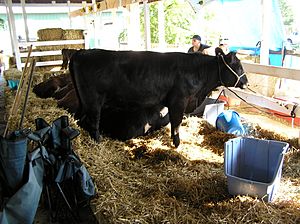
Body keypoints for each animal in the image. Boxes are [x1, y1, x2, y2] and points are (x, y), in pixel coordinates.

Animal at [69, 48, 247, 147]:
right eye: (238, 66)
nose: (246, 81)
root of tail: (81, 52)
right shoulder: (179, 101)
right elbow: (176, 122)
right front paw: (176, 143)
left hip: (84, 101)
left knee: (79, 118)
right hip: (93, 100)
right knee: (93, 122)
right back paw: (98, 142)